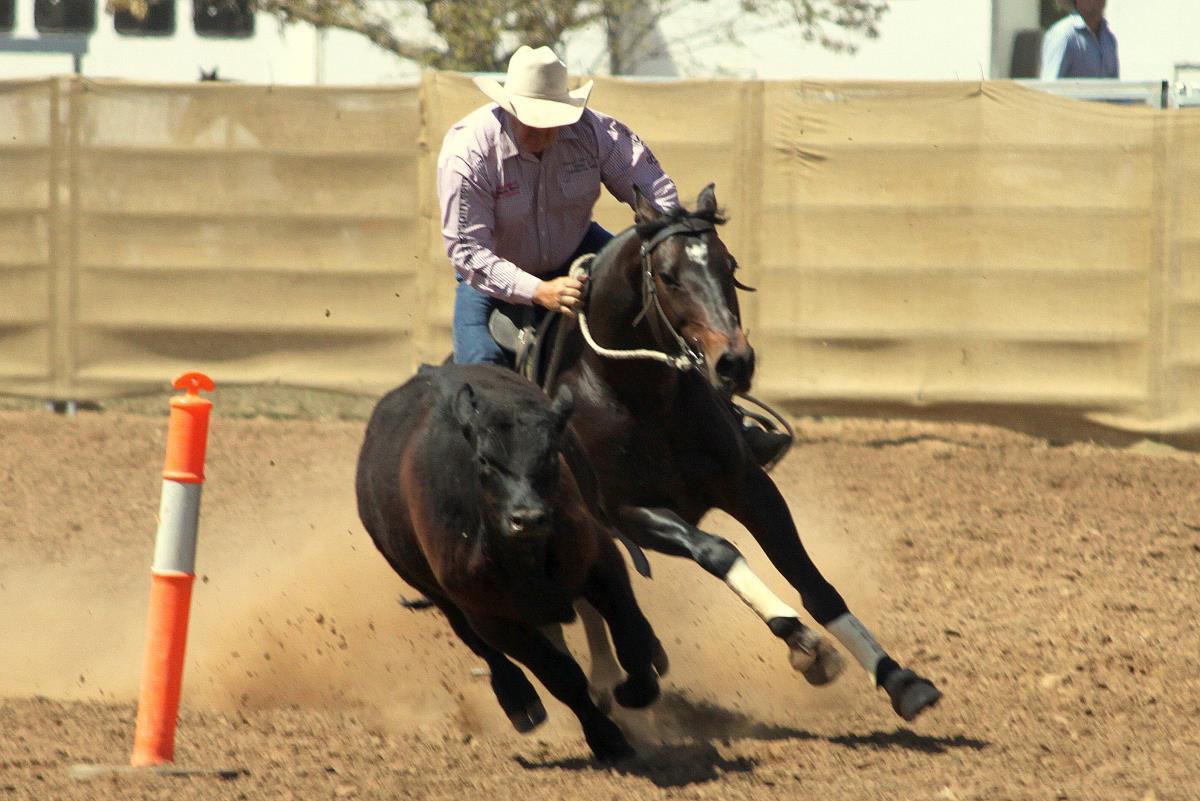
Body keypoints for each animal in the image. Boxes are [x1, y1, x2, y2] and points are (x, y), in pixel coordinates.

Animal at [355, 363, 666, 761]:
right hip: (435, 590)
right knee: (479, 644)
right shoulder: (489, 616)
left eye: (550, 454)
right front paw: (605, 737)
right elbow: (560, 675)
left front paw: (636, 689)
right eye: (486, 460)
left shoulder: (601, 560)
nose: (528, 518)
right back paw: (519, 701)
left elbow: (632, 633)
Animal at [544, 183, 942, 722]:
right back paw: (610, 679)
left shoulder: (751, 487)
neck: (640, 399)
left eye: (728, 265)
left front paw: (898, 678)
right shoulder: (633, 515)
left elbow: (812, 581)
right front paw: (804, 645)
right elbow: (719, 551)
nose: (735, 362)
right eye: (667, 277)